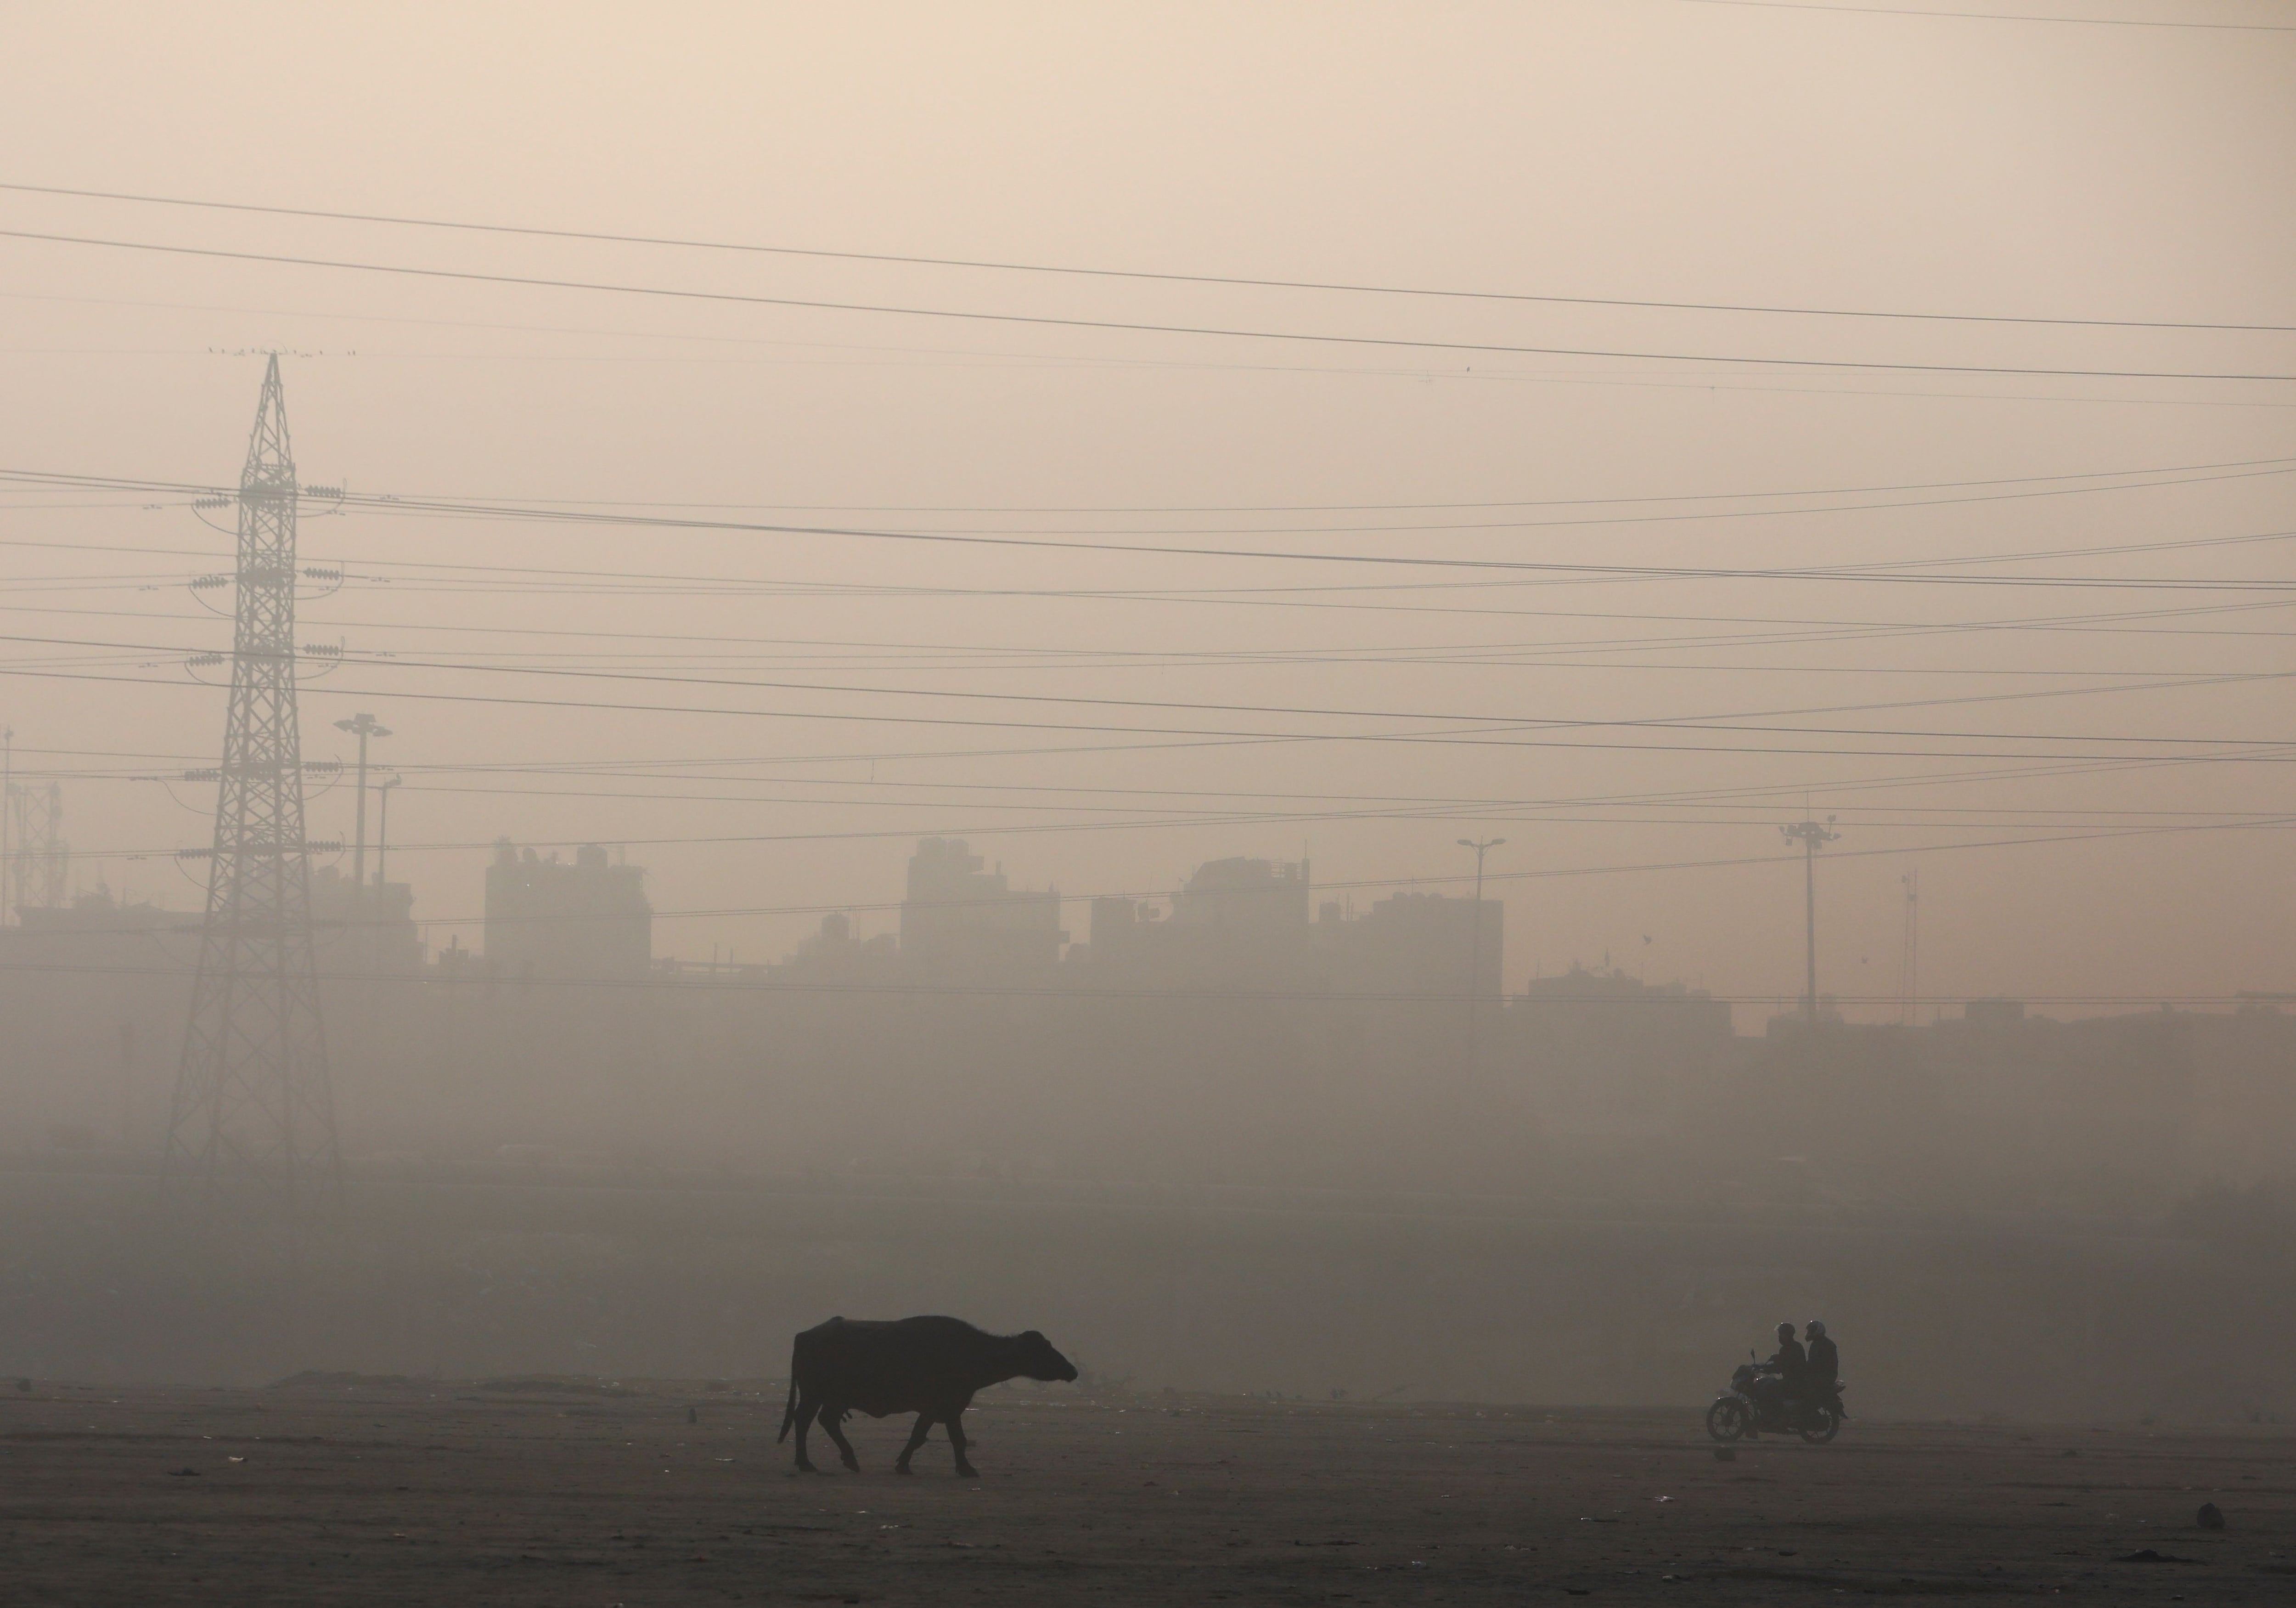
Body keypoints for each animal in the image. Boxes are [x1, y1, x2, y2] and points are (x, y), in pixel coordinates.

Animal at [781, 1314, 1075, 1479]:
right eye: (1043, 1349)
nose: (1072, 1370)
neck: (973, 1352)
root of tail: (804, 1336)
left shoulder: (936, 1409)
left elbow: (920, 1435)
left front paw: (904, 1464)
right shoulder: (948, 1406)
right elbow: (955, 1439)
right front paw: (967, 1469)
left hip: (828, 1397)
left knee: (821, 1420)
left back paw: (838, 1460)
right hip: (817, 1394)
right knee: (807, 1420)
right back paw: (812, 1462)